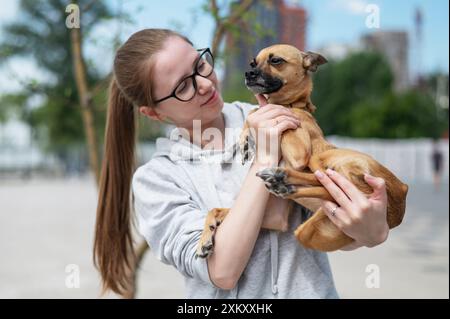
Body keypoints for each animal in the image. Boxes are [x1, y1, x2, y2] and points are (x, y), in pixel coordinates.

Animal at [196, 43, 408, 258]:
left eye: (276, 60)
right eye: (253, 63)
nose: (248, 73)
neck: (293, 105)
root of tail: (401, 193)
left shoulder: (299, 151)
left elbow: (256, 110)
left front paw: (247, 137)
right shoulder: (272, 218)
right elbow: (215, 210)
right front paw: (205, 239)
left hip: (321, 160)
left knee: (329, 184)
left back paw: (282, 179)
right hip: (307, 232)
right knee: (329, 190)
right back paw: (284, 185)